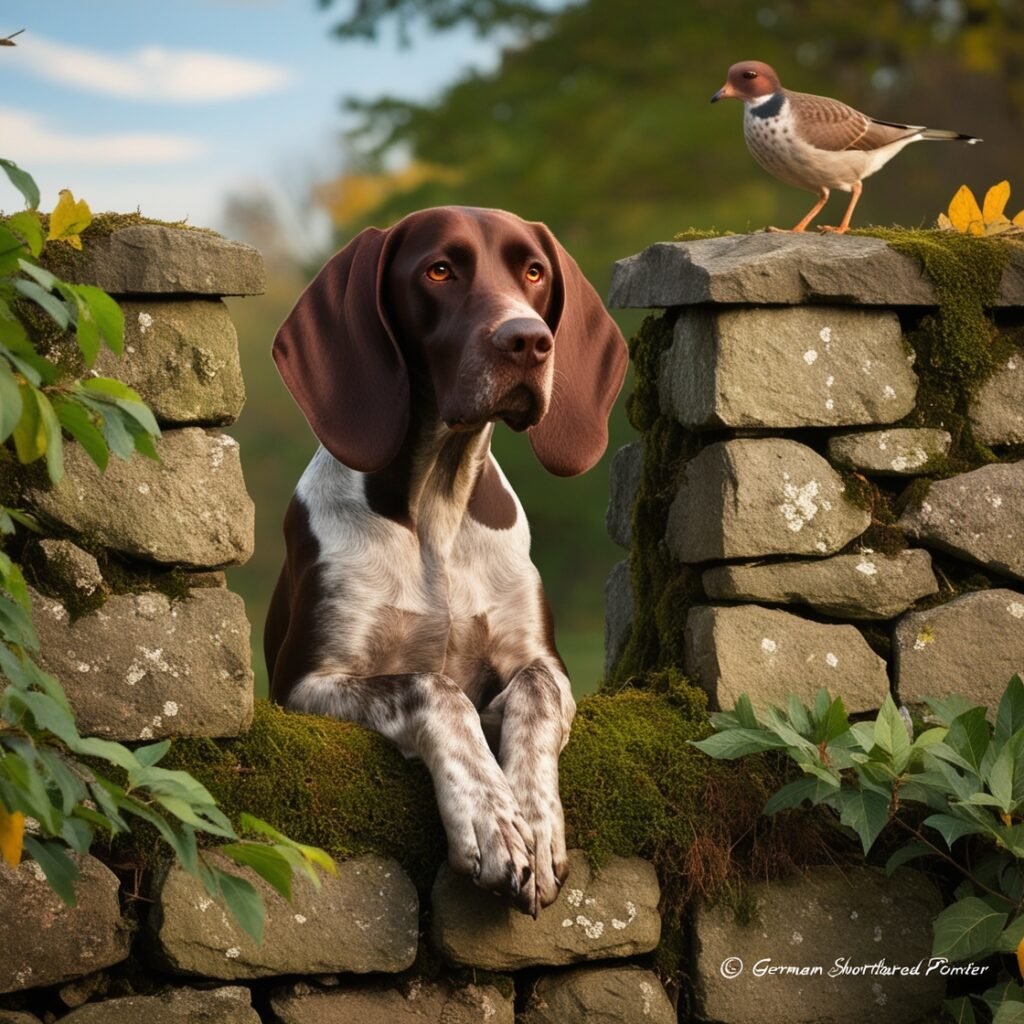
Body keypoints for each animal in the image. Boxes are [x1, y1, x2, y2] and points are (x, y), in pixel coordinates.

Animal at [266, 205, 622, 913]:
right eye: (438, 271)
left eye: (534, 272)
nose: (529, 340)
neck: (437, 506)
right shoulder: (305, 684)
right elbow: (435, 687)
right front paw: (490, 818)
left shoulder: (545, 662)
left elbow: (534, 693)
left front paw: (536, 820)